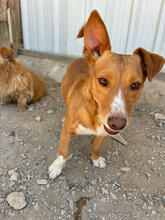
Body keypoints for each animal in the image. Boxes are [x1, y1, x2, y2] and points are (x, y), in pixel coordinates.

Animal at [48, 9, 164, 179]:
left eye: (135, 85)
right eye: (103, 81)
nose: (117, 124)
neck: (93, 114)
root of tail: (80, 58)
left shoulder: (103, 132)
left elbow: (96, 146)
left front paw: (95, 158)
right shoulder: (67, 132)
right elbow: (63, 151)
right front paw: (57, 167)